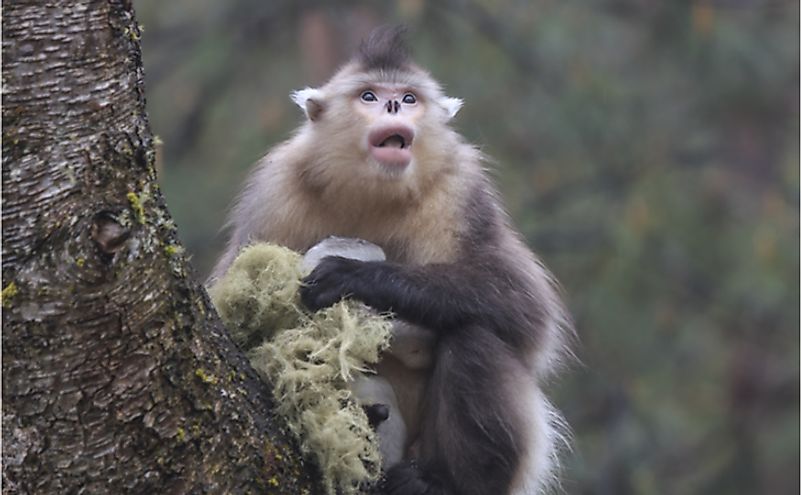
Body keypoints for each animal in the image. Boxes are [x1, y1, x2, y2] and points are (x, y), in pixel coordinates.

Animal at [211, 28, 576, 495]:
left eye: (408, 98)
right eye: (369, 96)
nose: (391, 107)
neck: (371, 191)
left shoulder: (462, 189)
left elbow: (527, 310)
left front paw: (356, 277)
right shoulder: (274, 193)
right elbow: (238, 322)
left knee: (474, 336)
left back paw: (442, 482)